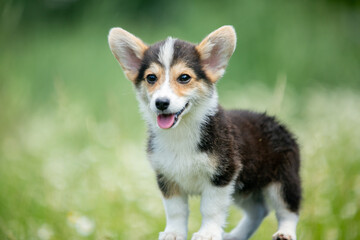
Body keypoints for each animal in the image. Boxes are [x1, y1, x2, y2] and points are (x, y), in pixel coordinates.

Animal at [107, 25, 300, 240]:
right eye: (151, 78)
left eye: (184, 77)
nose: (161, 103)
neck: (181, 132)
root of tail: (277, 123)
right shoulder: (167, 178)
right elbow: (176, 210)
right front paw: (173, 233)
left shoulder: (222, 176)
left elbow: (211, 209)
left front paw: (207, 233)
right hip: (243, 188)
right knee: (258, 211)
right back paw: (234, 236)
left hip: (282, 182)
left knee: (288, 210)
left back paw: (284, 233)